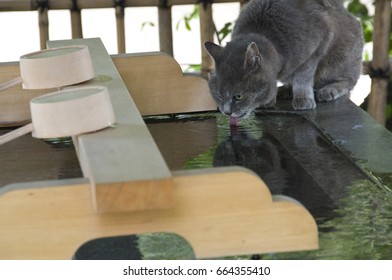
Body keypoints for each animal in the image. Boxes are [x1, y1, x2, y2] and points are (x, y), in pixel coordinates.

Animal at [205, 0, 364, 117]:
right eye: (218, 96)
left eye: (238, 96)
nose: (226, 112)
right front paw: (270, 99)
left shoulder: (318, 46)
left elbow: (303, 77)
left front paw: (303, 99)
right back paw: (285, 90)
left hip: (339, 60)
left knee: (348, 81)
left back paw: (329, 90)